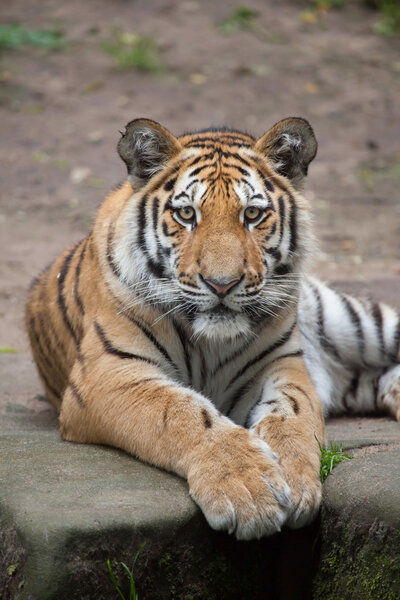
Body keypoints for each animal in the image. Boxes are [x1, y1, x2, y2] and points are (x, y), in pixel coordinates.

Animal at [25, 116, 400, 540]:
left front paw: (294, 478)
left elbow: (294, 416)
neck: (210, 342)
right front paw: (248, 488)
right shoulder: (109, 373)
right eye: (187, 214)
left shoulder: (283, 364)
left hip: (355, 323)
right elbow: (182, 412)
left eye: (252, 215)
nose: (222, 284)